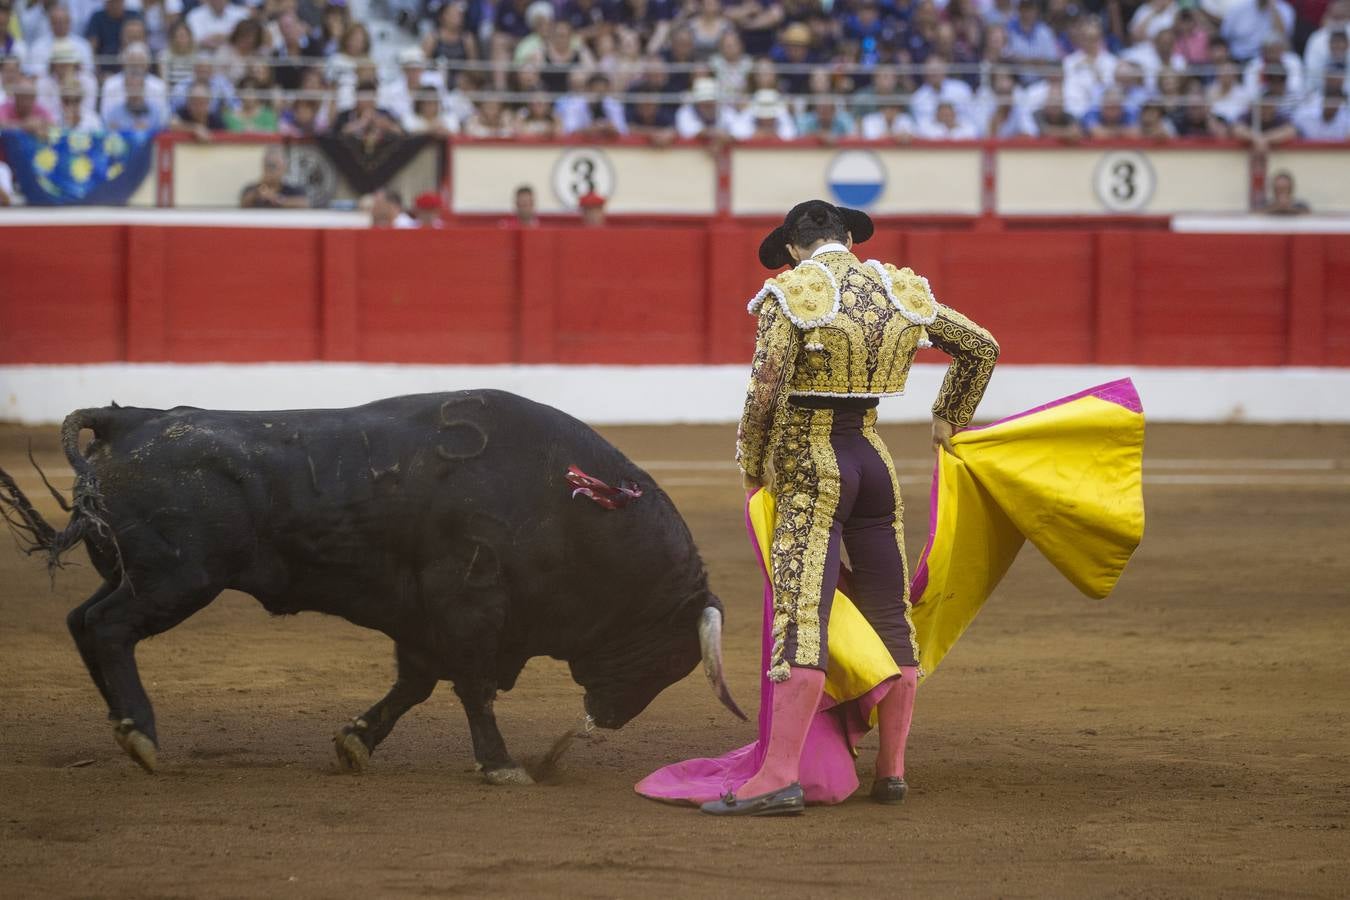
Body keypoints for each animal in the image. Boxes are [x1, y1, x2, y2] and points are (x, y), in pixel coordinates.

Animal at [0, 391, 745, 782]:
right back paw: (144, 736)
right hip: (177, 580)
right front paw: (502, 764)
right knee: (108, 628)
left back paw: (126, 728)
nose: (609, 719)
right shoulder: (469, 607)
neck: (569, 507)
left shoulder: (426, 621)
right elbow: (471, 686)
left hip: (145, 577)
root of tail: (132, 419)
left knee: (82, 622)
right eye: (670, 656)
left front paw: (356, 742)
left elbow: (414, 684)